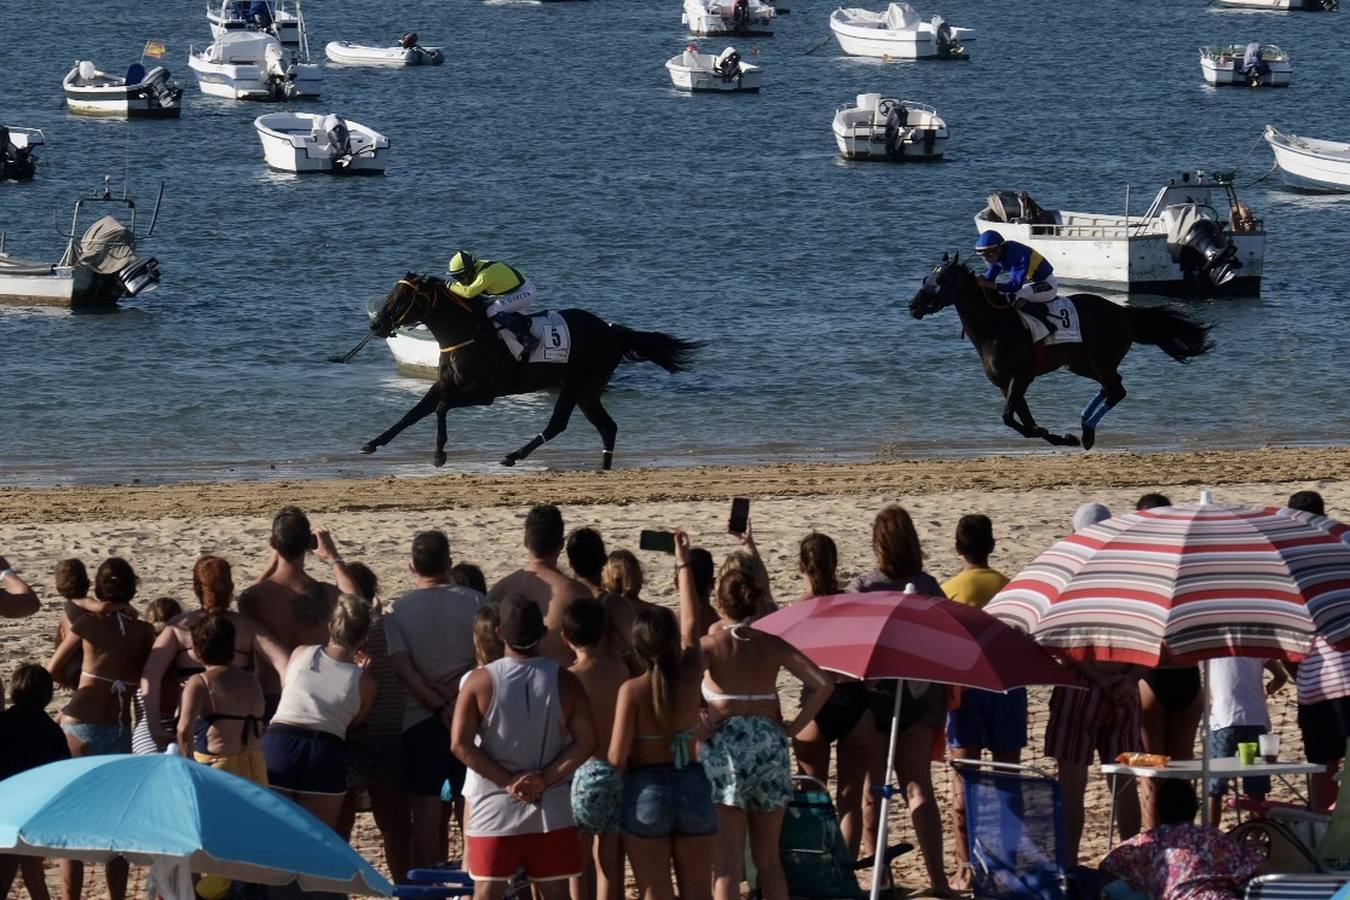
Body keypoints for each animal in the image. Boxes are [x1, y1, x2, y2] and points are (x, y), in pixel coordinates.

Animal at [367, 272, 707, 472]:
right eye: (391, 294)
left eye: (402, 298)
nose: (376, 325)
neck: (466, 333)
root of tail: (611, 331)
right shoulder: (444, 383)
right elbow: (413, 413)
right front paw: (373, 442)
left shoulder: (484, 392)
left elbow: (439, 408)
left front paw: (439, 455)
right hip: (588, 390)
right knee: (607, 427)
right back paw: (603, 467)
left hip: (576, 383)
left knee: (558, 423)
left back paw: (513, 455)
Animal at [907, 253, 1215, 450]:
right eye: (925, 278)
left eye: (942, 281)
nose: (913, 306)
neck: (995, 325)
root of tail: (1124, 312)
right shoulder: (1005, 383)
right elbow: (1022, 420)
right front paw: (1057, 436)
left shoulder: (1022, 376)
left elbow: (1010, 418)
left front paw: (1057, 435)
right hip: (1080, 364)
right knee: (1111, 387)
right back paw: (1084, 424)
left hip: (1101, 358)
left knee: (1116, 390)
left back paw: (1088, 431)